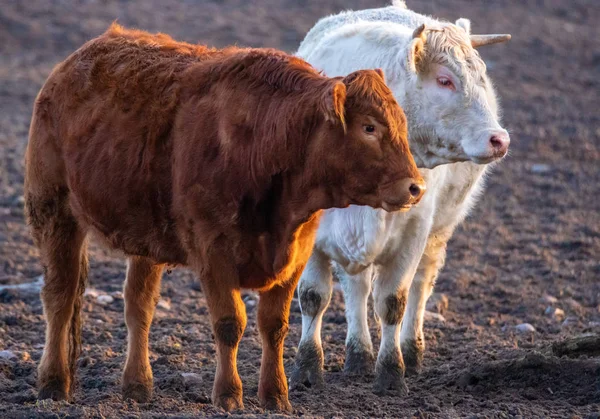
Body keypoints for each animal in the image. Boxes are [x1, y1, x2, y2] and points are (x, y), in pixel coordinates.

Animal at [24, 23, 426, 414]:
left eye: (402, 124)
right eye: (369, 127)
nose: (415, 187)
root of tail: (74, 62)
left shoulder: (295, 256)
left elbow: (274, 326)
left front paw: (275, 395)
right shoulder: (213, 252)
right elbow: (230, 322)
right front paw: (229, 395)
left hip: (144, 236)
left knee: (138, 304)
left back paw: (137, 386)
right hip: (53, 210)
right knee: (60, 296)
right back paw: (53, 384)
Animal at [290, 0, 510, 396]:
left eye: (482, 78)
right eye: (445, 80)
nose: (499, 139)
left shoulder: (413, 233)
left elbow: (393, 301)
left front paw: (392, 372)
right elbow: (314, 297)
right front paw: (307, 368)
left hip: (437, 231)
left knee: (421, 285)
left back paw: (410, 351)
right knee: (357, 287)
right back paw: (358, 355)